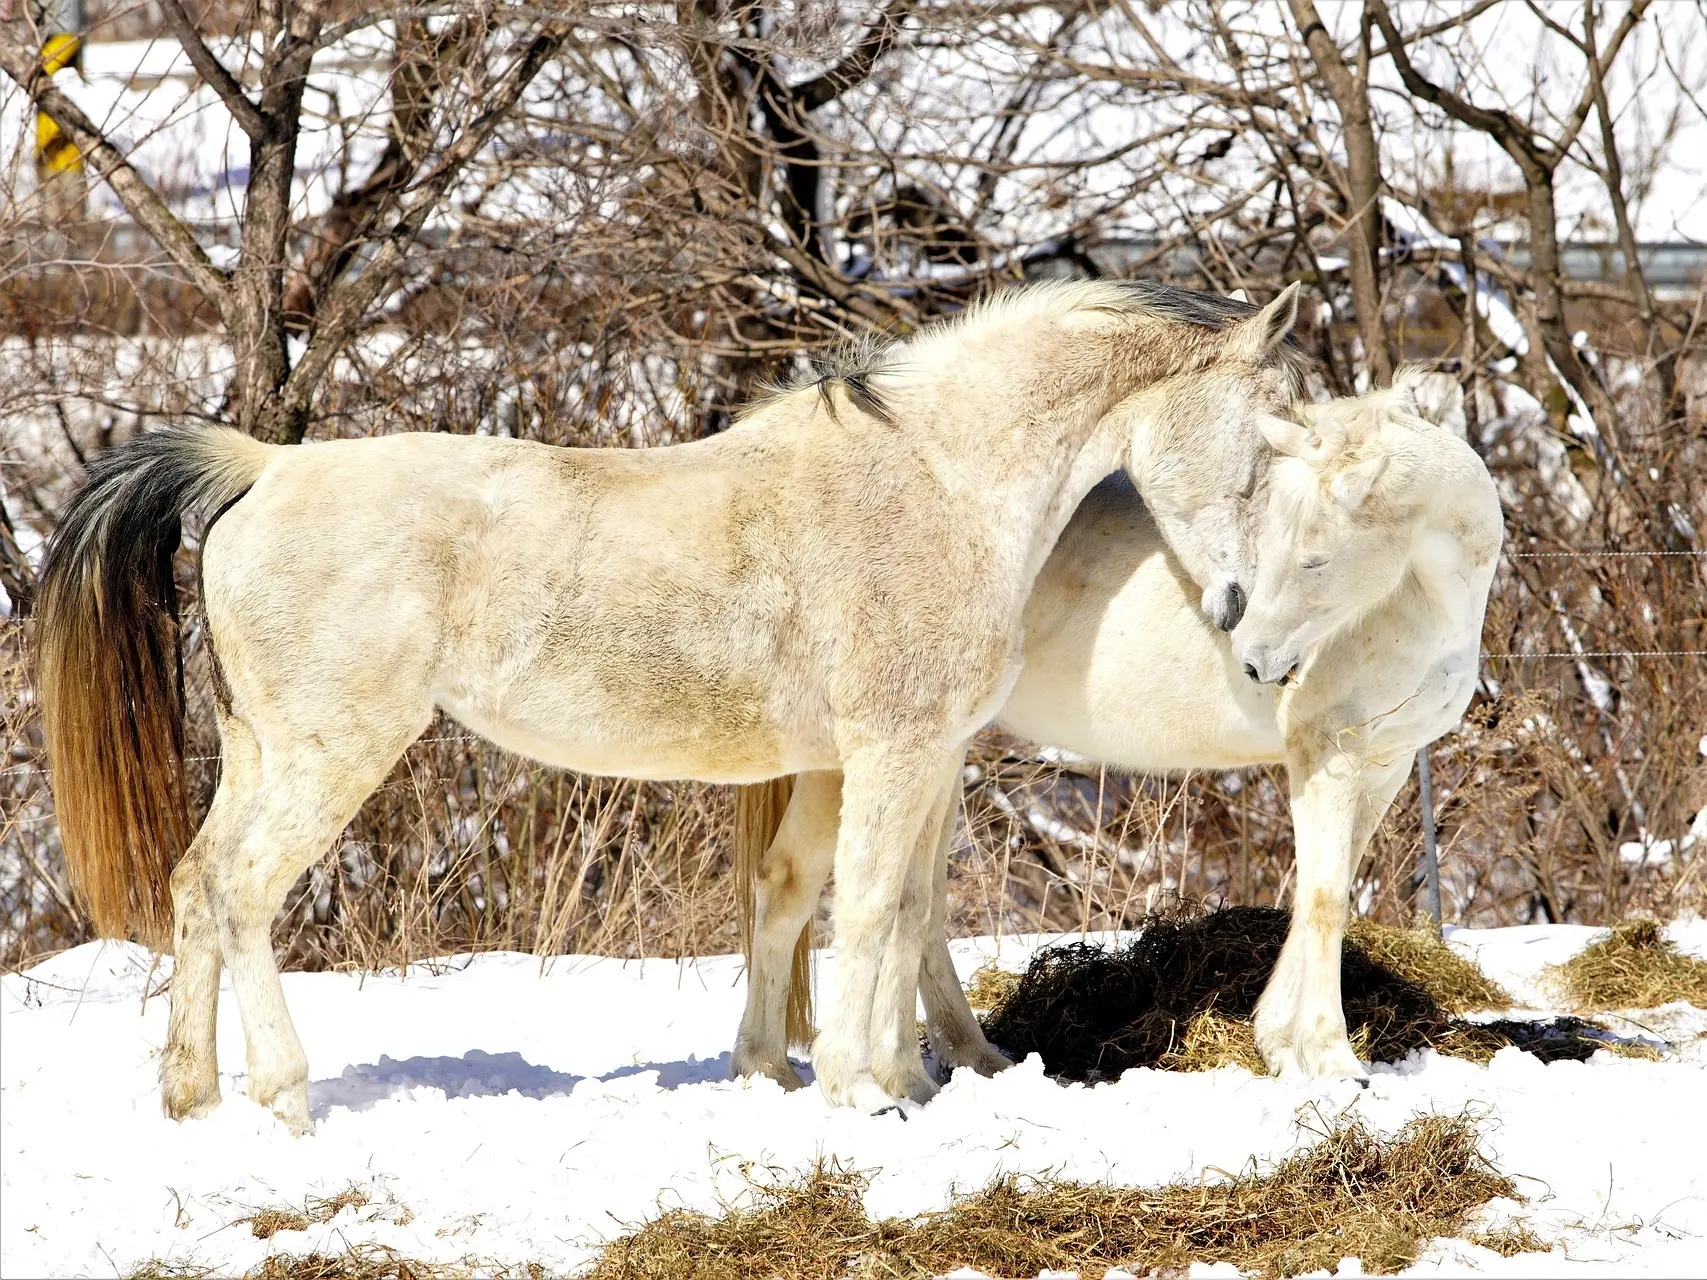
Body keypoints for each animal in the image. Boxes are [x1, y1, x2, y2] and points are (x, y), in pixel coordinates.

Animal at [30, 276, 1304, 1126]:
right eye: (1260, 451)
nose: (1244, 609)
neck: (940, 483)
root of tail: (266, 468)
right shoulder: (897, 749)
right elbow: (873, 906)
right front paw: (862, 1089)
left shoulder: (882, 756)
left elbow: (856, 904)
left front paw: (848, 1072)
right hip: (329, 751)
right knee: (243, 891)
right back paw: (286, 1098)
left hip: (259, 749)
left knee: (194, 883)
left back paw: (193, 1095)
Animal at [727, 373, 1502, 1092]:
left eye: (1312, 559)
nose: (1256, 661)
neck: (1421, 603)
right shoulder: (1326, 760)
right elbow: (1325, 901)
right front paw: (1332, 1060)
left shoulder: (1383, 764)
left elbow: (1317, 892)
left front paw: (1280, 1043)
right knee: (804, 883)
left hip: (939, 755)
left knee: (912, 904)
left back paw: (963, 1059)